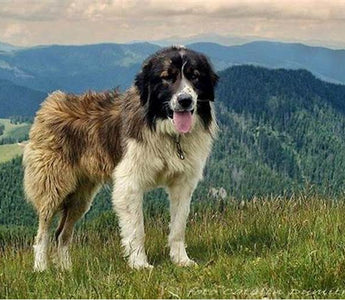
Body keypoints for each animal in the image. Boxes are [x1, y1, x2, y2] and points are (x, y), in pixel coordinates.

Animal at [22, 45, 218, 270]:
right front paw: (140, 264)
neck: (166, 130)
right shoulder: (129, 183)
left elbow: (178, 226)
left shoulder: (183, 184)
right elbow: (137, 229)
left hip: (81, 197)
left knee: (62, 233)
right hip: (54, 187)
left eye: (195, 76)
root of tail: (48, 105)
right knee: (43, 232)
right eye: (167, 77)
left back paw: (66, 269)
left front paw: (181, 260)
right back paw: (41, 267)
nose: (185, 101)